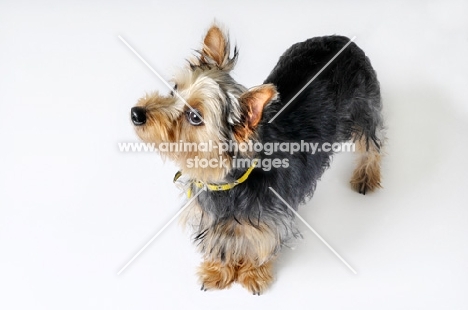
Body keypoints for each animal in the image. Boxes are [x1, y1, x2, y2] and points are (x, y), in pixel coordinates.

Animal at [131, 23, 384, 294]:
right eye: (174, 89)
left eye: (195, 116)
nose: (136, 113)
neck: (228, 181)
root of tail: (343, 38)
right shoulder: (209, 217)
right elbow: (218, 244)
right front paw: (217, 271)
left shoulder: (270, 221)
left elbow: (261, 246)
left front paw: (253, 275)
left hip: (364, 107)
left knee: (372, 143)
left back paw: (367, 176)